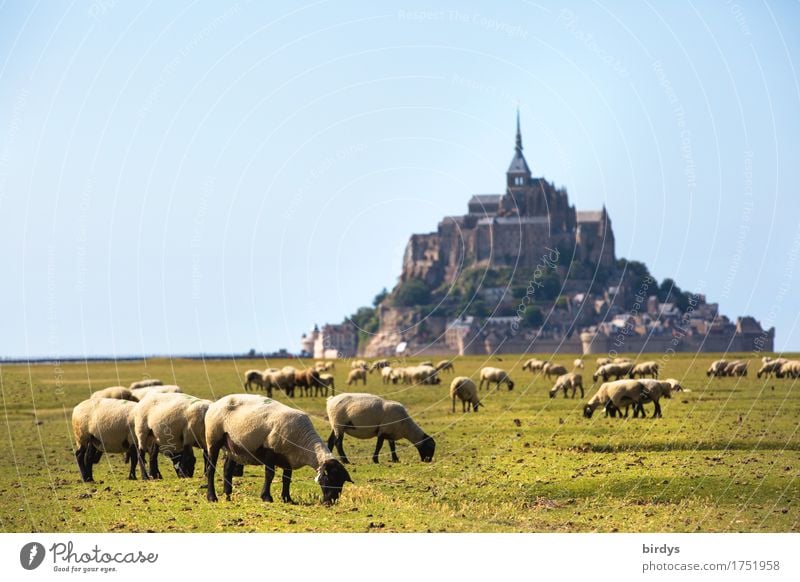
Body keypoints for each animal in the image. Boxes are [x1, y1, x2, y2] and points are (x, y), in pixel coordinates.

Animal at [205, 396, 352, 506]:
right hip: (213, 439)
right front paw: (266, 497)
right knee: (211, 470)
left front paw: (287, 499)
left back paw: (228, 495)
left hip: (232, 445)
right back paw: (212, 497)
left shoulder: (289, 457)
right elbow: (270, 475)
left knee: (227, 469)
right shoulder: (270, 451)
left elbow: (287, 479)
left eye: (341, 481)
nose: (331, 501)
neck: (305, 443)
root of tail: (215, 403)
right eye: (331, 478)